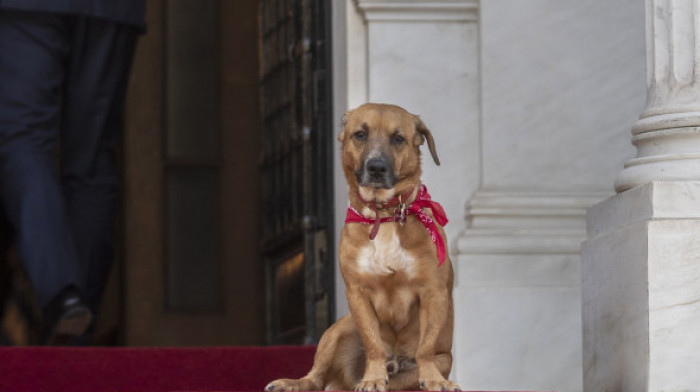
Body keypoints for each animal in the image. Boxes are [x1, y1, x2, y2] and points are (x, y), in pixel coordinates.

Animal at [266, 102, 456, 390]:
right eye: (360, 135)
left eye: (398, 139)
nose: (376, 167)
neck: (385, 214)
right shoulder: (357, 294)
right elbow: (373, 343)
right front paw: (373, 378)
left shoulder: (433, 293)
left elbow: (425, 348)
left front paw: (434, 381)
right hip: (339, 329)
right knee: (316, 377)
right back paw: (294, 383)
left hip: (444, 358)